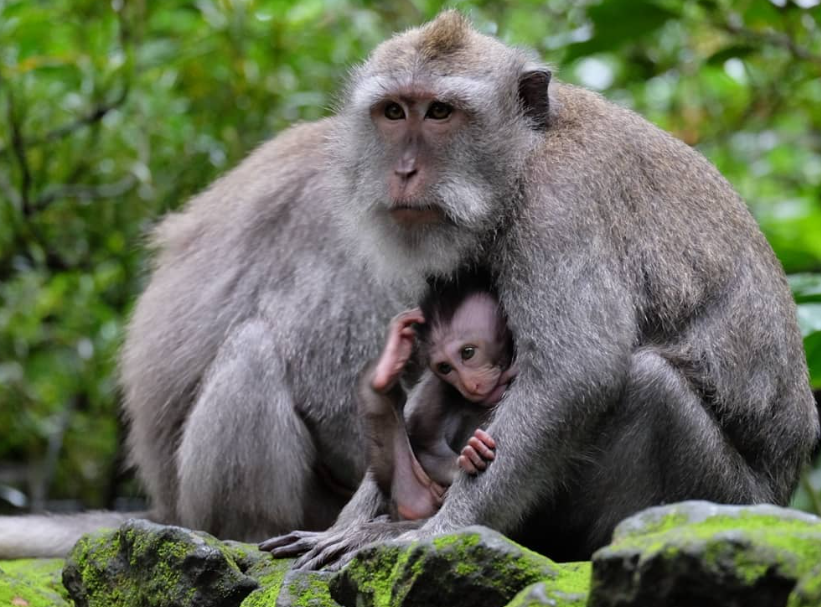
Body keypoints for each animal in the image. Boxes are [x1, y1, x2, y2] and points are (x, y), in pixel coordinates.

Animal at [360, 274, 516, 520]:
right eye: (445, 368)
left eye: (468, 353)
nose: (469, 385)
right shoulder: (438, 388)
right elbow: (427, 449)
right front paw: (471, 457)